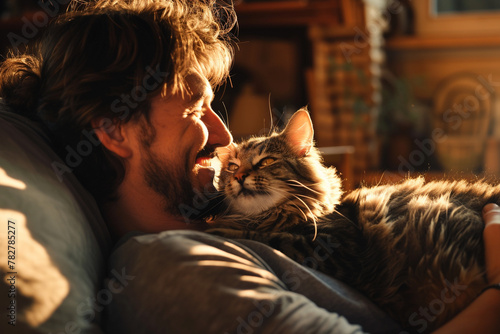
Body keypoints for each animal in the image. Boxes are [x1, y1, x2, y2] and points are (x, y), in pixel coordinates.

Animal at [208, 108, 496, 332]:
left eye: (266, 161)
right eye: (232, 167)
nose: (239, 177)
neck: (268, 216)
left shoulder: (338, 249)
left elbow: (270, 238)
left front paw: (217, 230)